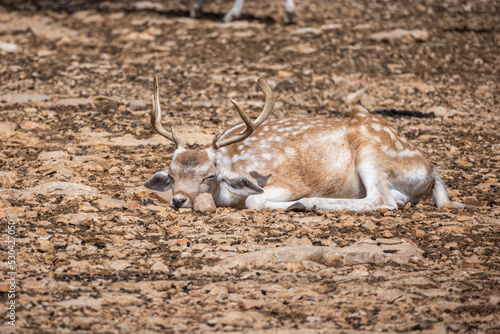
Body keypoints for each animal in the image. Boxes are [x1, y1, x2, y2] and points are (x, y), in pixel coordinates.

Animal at [145, 77, 464, 210]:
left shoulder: (286, 181)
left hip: (371, 150)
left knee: (381, 200)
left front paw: (296, 201)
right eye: (171, 175)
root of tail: (431, 171)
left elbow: (252, 199)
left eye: (208, 176)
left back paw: (307, 204)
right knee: (394, 199)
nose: (178, 200)